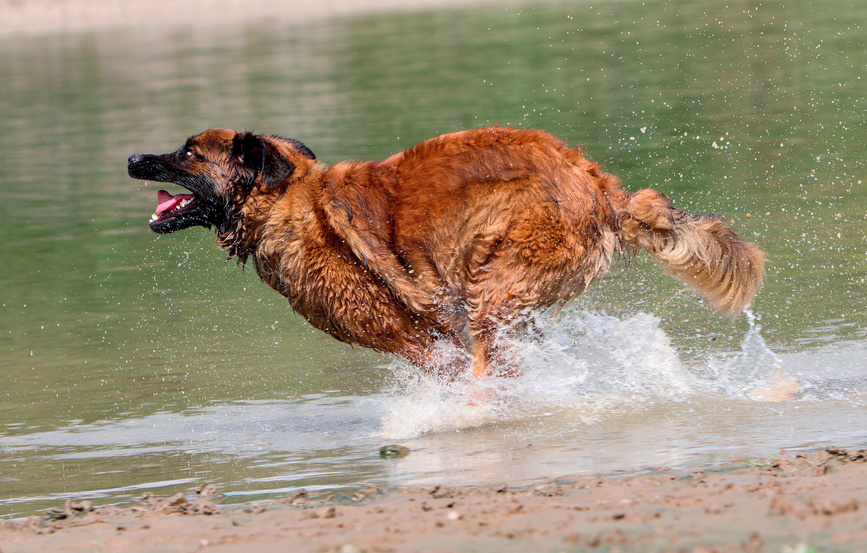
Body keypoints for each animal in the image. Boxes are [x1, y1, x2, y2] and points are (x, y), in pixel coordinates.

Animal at [129, 125, 768, 378]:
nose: (134, 158)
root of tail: (600, 188)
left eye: (189, 153)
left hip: (493, 290)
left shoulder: (423, 337)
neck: (289, 203)